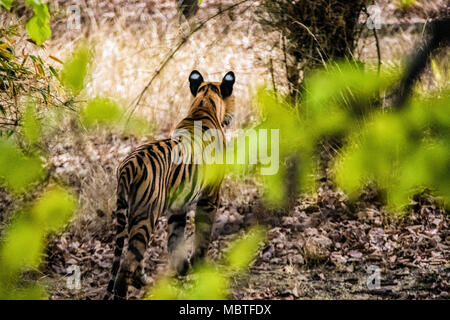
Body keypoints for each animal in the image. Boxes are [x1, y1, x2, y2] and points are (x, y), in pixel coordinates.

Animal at [105, 70, 237, 300]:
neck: (203, 104)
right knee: (127, 265)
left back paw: (143, 281)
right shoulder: (210, 197)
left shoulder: (179, 203)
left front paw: (182, 268)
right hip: (146, 215)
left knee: (132, 255)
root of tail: (127, 166)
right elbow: (202, 234)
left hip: (133, 213)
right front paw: (199, 266)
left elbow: (176, 237)